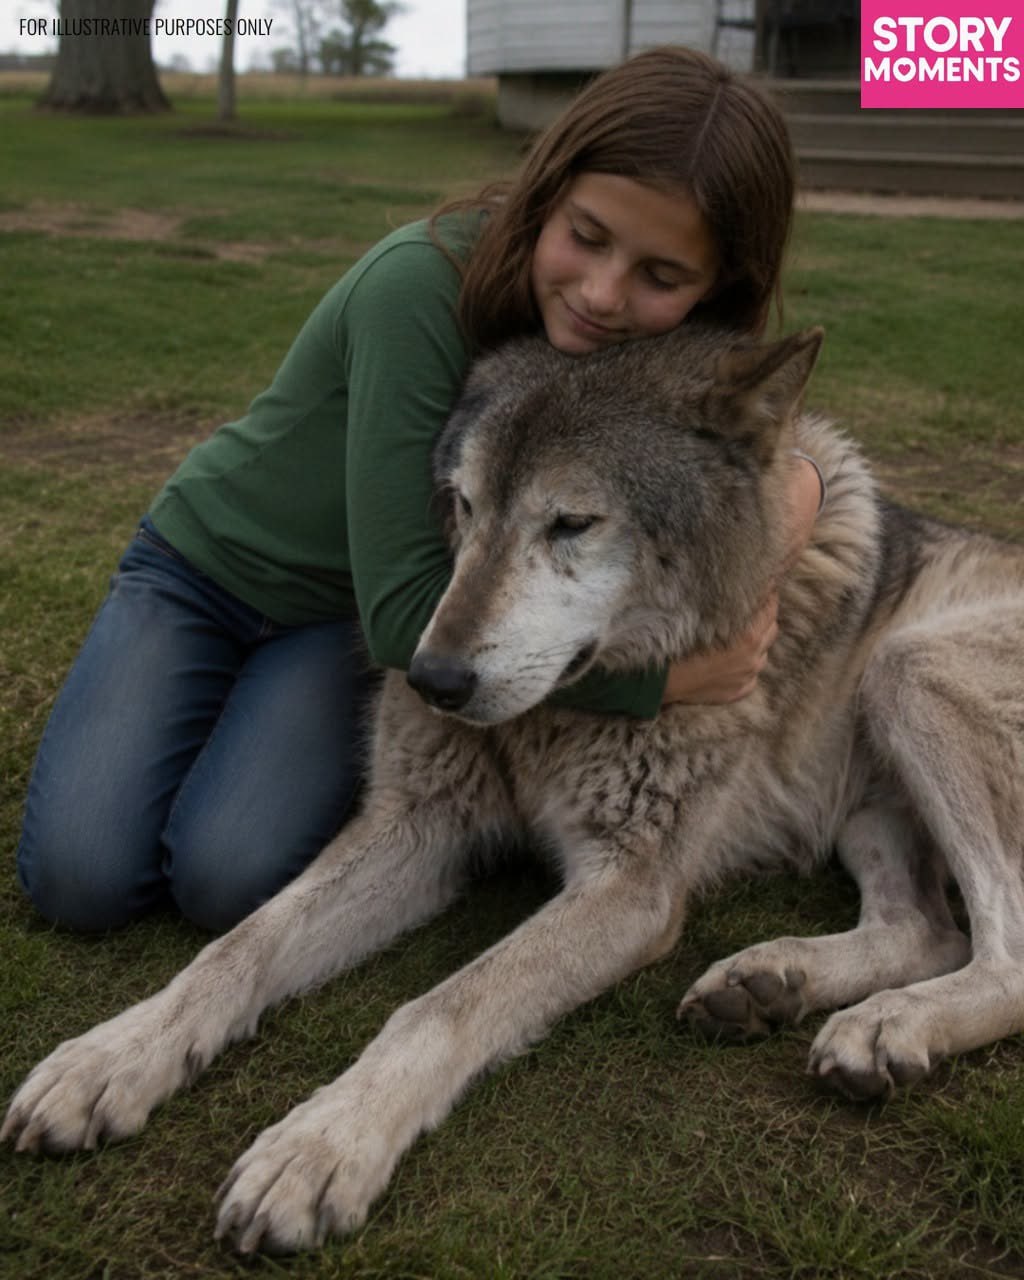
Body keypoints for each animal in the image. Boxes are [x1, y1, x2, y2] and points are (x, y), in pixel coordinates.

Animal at [5, 324, 1024, 1254]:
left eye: (571, 523)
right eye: (462, 504)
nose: (432, 680)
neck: (549, 723)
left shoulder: (629, 890)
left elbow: (440, 1006)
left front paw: (321, 1144)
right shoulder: (416, 827)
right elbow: (238, 947)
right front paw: (114, 1055)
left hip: (907, 671)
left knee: (1000, 952)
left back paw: (887, 1024)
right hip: (872, 789)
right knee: (926, 927)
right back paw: (772, 982)